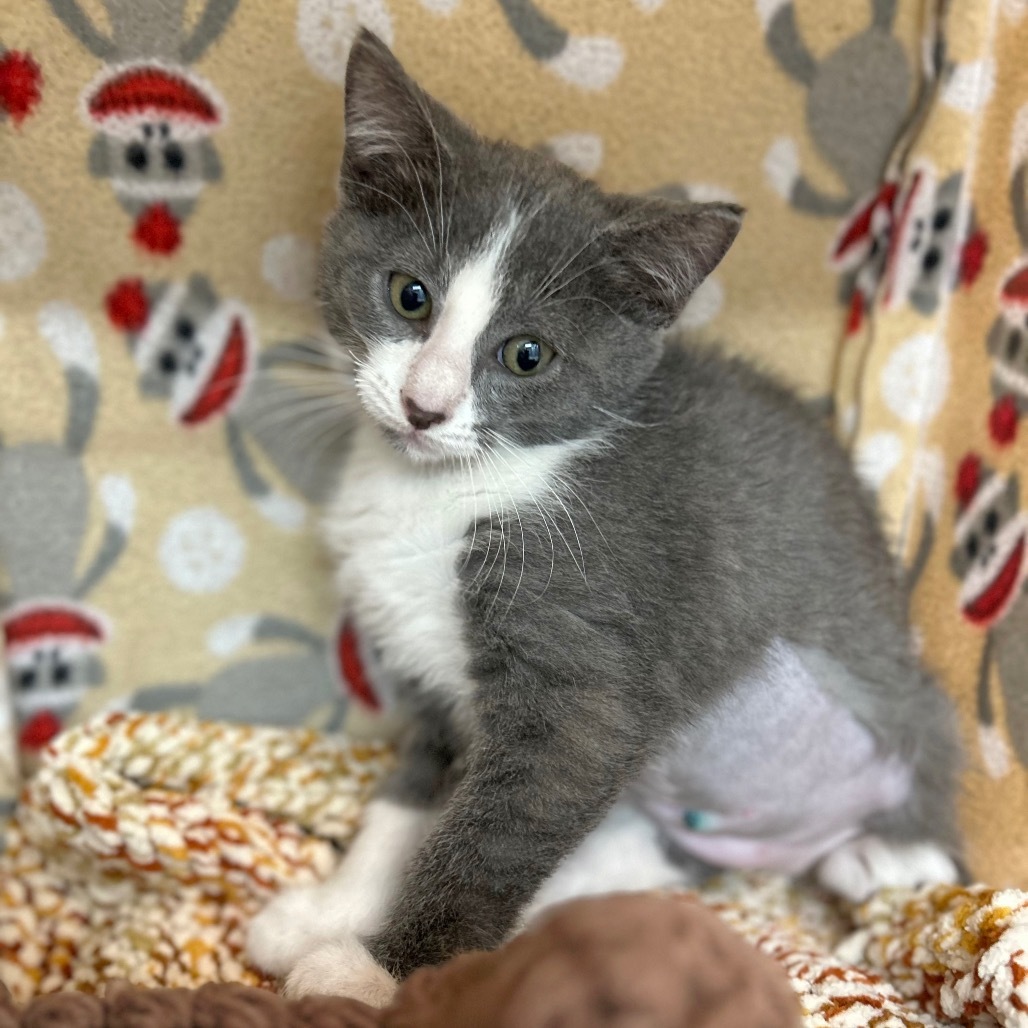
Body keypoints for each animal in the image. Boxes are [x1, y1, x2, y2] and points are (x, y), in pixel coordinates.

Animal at [248, 30, 962, 1003]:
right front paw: (334, 911)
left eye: (527, 355)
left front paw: (380, 972)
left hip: (893, 697)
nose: (425, 406)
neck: (444, 491)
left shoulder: (587, 654)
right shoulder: (435, 677)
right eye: (409, 296)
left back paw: (894, 850)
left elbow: (498, 832)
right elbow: (412, 796)